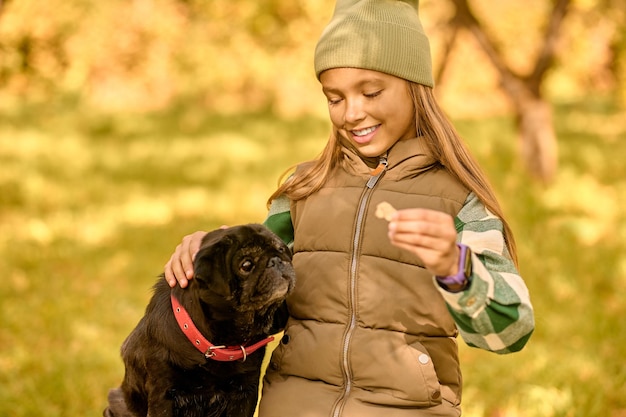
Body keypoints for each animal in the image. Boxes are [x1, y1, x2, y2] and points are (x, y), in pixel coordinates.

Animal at [103, 224, 294, 416]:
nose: (276, 260)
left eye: (281, 250)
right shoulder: (163, 396)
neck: (220, 343)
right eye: (246, 265)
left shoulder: (246, 393)